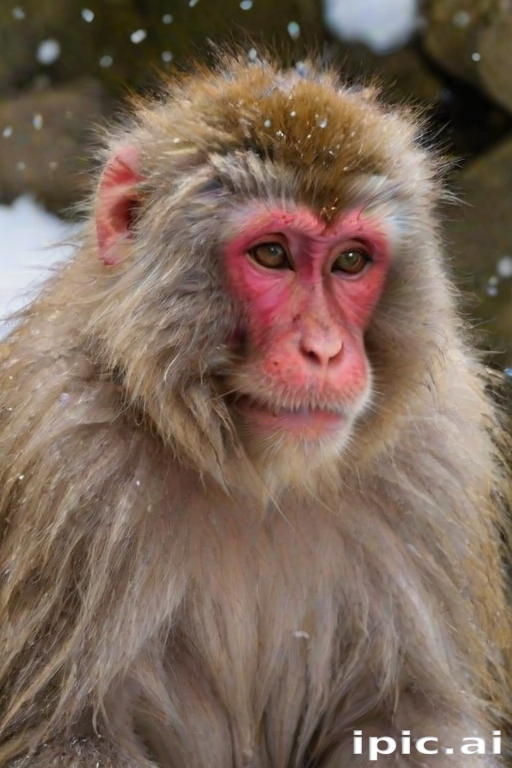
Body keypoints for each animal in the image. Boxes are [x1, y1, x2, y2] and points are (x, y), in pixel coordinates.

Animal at [0, 51, 511, 768]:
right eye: (272, 254)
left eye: (351, 261)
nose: (324, 349)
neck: (258, 479)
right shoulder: (65, 463)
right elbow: (64, 732)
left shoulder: (437, 468)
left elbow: (414, 718)